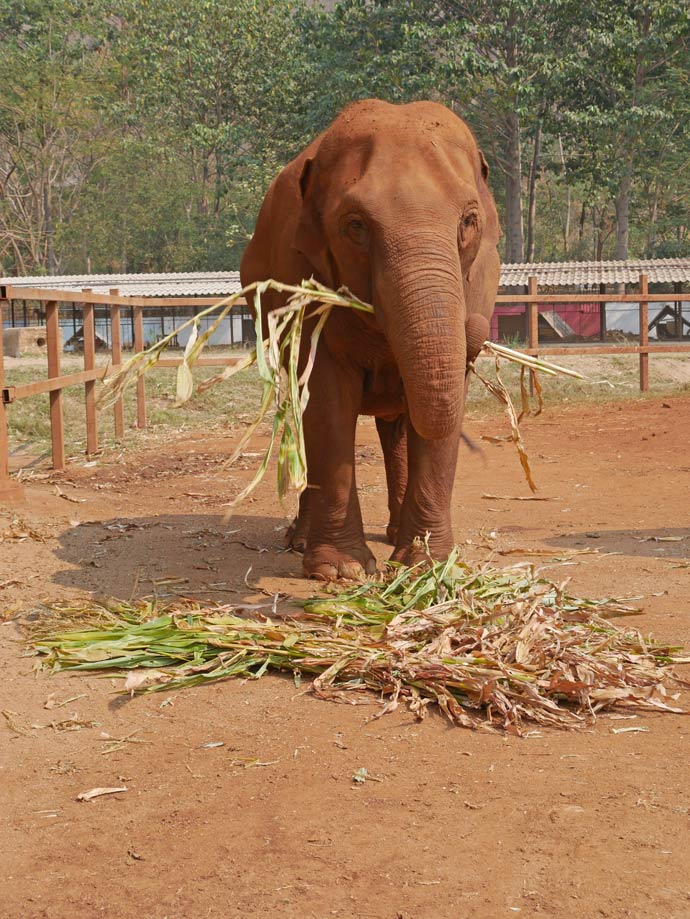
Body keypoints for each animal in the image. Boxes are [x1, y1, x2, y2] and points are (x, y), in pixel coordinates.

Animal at [242, 99, 500, 584]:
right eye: (355, 225)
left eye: (468, 221)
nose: (475, 325)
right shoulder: (300, 275)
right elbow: (326, 399)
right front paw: (342, 571)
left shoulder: (481, 276)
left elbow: (440, 406)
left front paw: (426, 566)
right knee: (305, 411)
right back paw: (300, 541)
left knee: (396, 424)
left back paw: (395, 533)